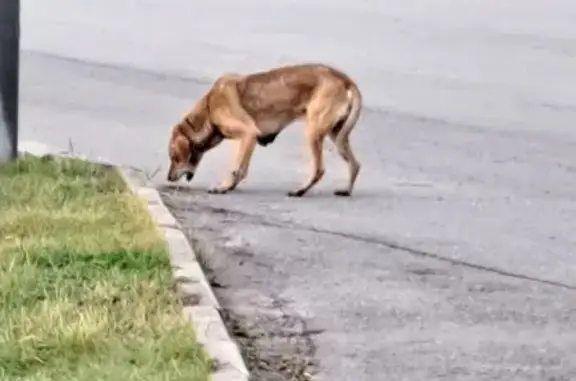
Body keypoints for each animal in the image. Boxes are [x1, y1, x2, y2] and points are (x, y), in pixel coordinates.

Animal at [166, 62, 362, 196]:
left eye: (174, 157)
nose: (168, 177)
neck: (208, 108)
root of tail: (345, 80)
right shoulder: (249, 139)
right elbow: (242, 168)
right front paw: (231, 186)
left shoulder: (248, 133)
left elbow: (236, 168)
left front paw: (224, 186)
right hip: (336, 135)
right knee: (355, 164)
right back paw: (346, 190)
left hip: (314, 132)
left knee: (319, 169)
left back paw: (300, 190)